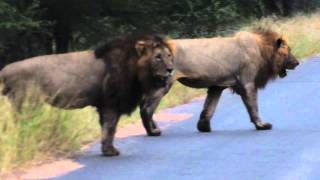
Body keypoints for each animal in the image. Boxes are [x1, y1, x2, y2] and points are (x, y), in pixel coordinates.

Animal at [0, 33, 175, 156]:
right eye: (158, 57)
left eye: (169, 56)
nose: (171, 69)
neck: (136, 71)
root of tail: (5, 71)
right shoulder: (111, 103)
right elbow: (110, 127)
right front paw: (110, 152)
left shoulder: (106, 104)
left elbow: (107, 128)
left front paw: (107, 150)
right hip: (27, 105)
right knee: (23, 126)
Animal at [156, 28, 298, 132]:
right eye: (289, 51)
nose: (297, 63)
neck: (262, 50)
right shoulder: (248, 83)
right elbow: (253, 106)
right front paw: (261, 125)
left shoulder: (217, 86)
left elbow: (209, 107)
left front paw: (203, 127)